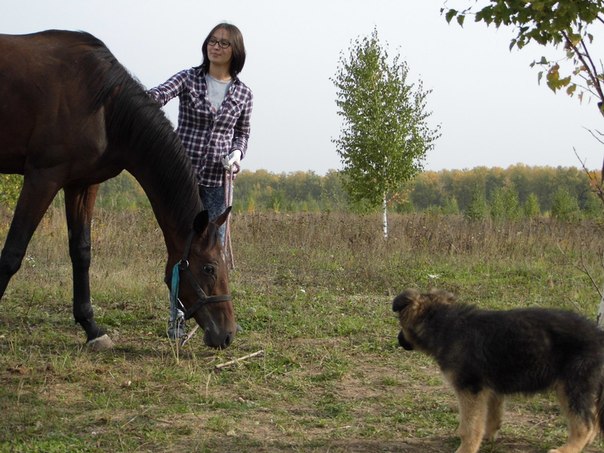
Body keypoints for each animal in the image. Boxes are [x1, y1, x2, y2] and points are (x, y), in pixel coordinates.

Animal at [0, 30, 237, 350]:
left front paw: (91, 328)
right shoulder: (42, 177)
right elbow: (13, 252)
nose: (227, 334)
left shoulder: (82, 184)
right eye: (209, 268)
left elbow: (81, 252)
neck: (103, 106)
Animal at [392, 288, 604, 452]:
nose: (398, 340)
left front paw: (466, 448)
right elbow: (491, 417)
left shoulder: (470, 389)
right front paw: (487, 437)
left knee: (584, 423)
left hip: (572, 385)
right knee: (593, 419)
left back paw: (568, 448)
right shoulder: (490, 389)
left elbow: (469, 426)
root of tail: (599, 335)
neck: (444, 323)